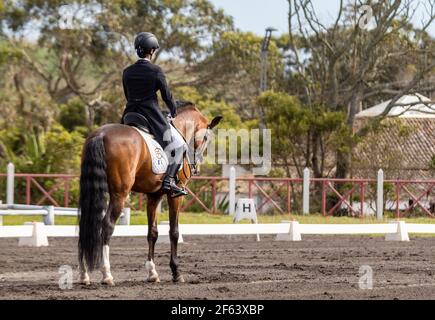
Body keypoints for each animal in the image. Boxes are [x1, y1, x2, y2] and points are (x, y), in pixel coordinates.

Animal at [77, 103, 223, 284]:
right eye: (206, 138)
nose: (196, 166)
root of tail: (101, 134)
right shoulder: (176, 196)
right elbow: (174, 232)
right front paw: (176, 272)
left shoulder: (154, 196)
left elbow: (152, 232)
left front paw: (152, 273)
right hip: (119, 194)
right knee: (107, 225)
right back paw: (107, 275)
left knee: (86, 224)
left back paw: (84, 275)